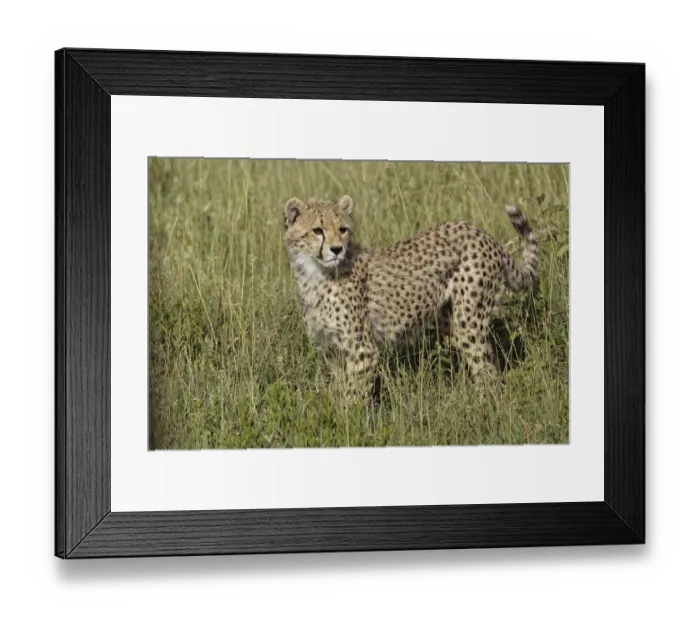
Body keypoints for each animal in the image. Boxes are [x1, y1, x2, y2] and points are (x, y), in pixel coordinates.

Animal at [282, 194, 539, 403]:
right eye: (317, 230)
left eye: (343, 229)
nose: (337, 249)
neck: (315, 274)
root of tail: (481, 233)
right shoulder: (332, 351)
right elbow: (339, 389)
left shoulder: (363, 351)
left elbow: (352, 395)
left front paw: (349, 422)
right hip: (450, 318)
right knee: (489, 360)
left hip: (469, 321)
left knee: (486, 369)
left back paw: (485, 409)